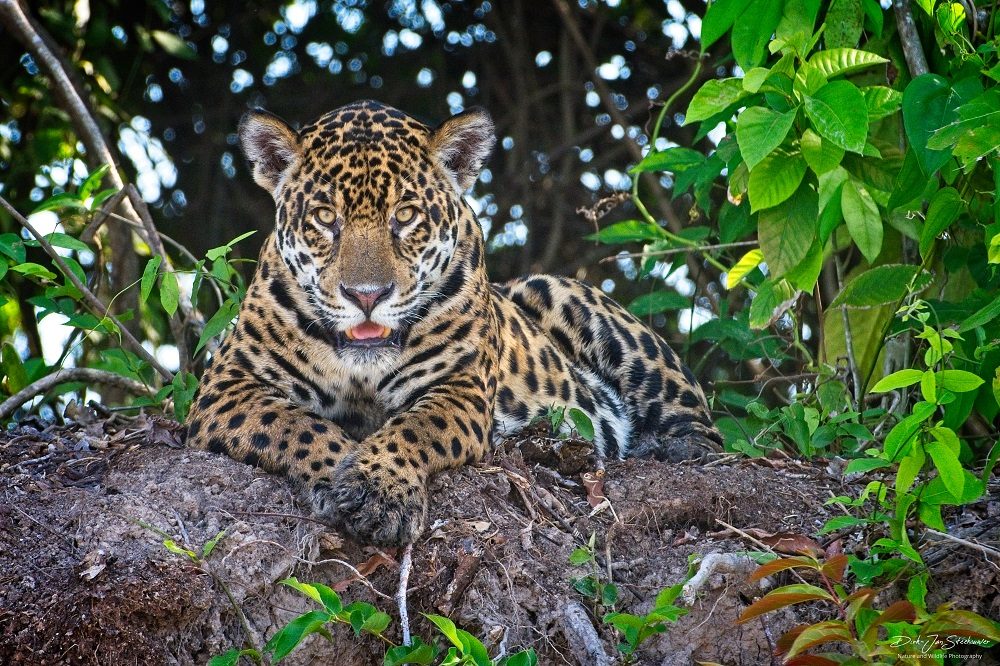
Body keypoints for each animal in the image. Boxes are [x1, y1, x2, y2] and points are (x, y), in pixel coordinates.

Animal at [186, 99, 721, 546]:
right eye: (323, 216)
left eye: (405, 215)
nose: (366, 296)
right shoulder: (226, 387)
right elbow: (296, 425)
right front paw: (345, 473)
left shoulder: (459, 386)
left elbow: (416, 428)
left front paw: (379, 489)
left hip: (564, 297)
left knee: (704, 428)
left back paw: (668, 448)